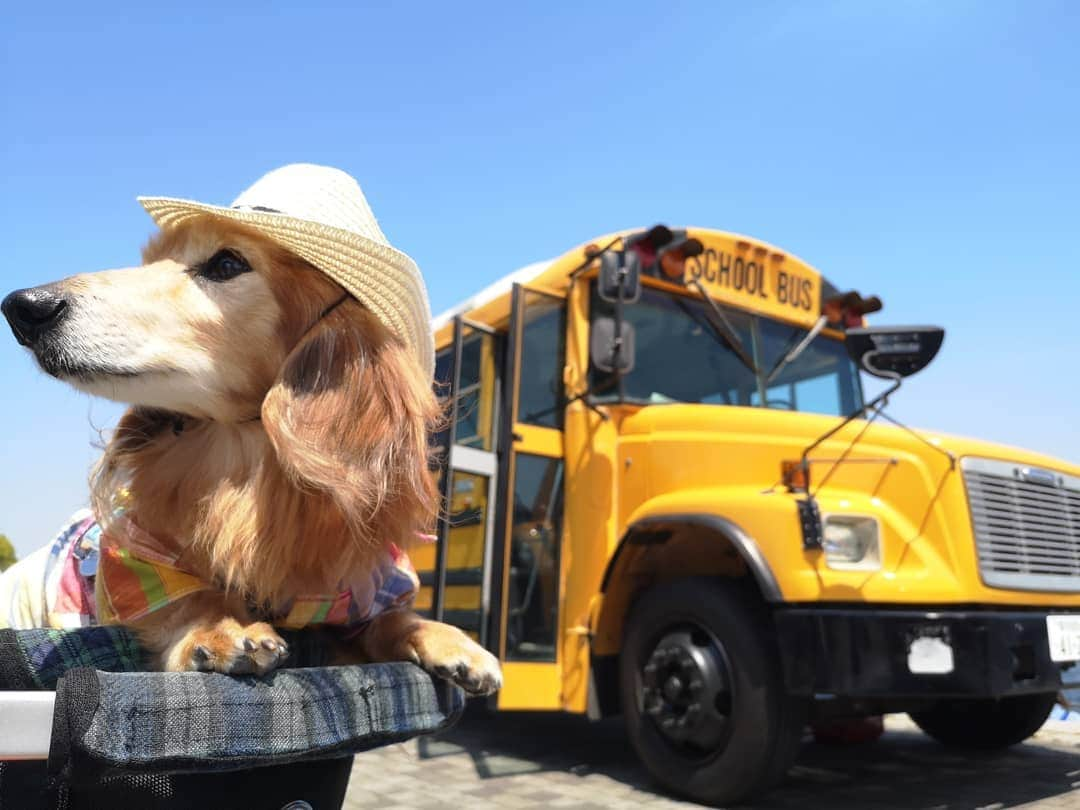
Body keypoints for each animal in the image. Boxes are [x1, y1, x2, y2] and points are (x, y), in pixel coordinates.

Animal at [0, 165, 503, 699]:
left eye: (225, 263)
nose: (23, 306)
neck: (245, 463)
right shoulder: (135, 552)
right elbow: (185, 600)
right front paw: (223, 628)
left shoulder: (366, 582)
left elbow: (391, 617)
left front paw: (454, 642)